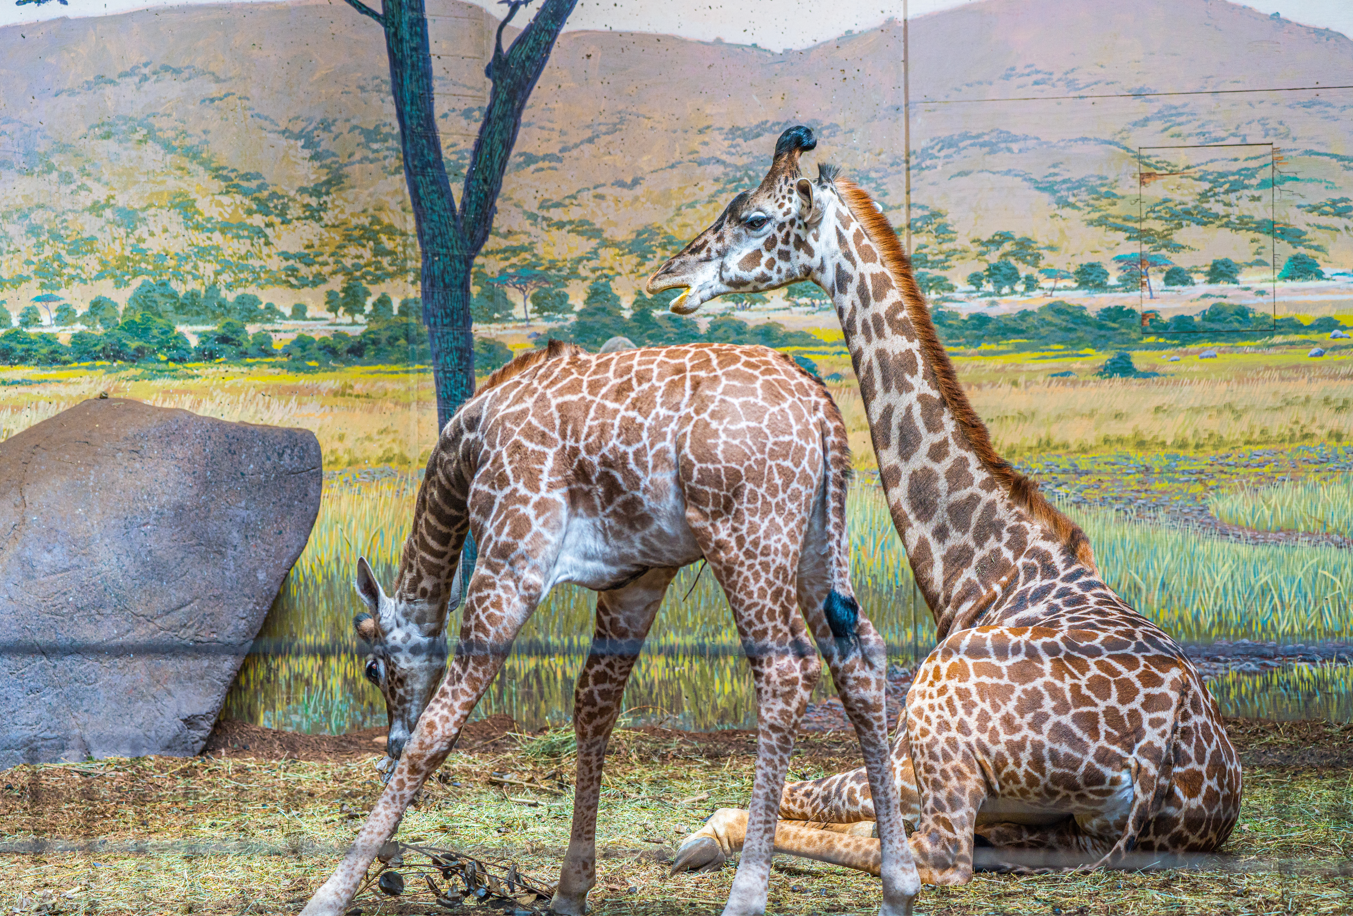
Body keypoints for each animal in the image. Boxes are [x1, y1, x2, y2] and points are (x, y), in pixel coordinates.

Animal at [302, 340, 920, 916]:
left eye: (371, 668)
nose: (387, 743)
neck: (468, 444)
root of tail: (821, 408)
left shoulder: (512, 558)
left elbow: (437, 731)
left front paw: (330, 893)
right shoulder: (635, 580)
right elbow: (593, 707)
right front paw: (571, 889)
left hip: (744, 532)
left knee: (787, 670)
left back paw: (746, 897)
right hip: (818, 540)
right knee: (862, 658)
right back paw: (899, 888)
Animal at [645, 126, 1242, 887]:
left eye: (752, 218)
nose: (668, 278)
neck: (981, 572)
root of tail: (1157, 758)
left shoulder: (911, 744)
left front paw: (702, 837)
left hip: (941, 727)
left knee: (936, 855)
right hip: (1067, 831)